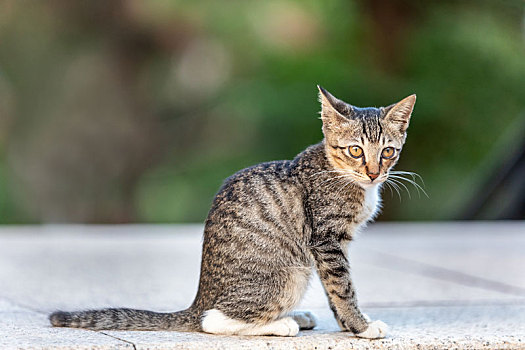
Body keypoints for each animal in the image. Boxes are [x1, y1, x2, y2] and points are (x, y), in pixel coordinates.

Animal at [51, 85, 416, 340]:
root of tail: (198, 300)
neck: (340, 173)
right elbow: (342, 288)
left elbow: (333, 289)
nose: (373, 173)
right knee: (211, 320)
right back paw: (282, 324)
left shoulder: (330, 246)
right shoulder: (325, 240)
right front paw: (362, 327)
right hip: (291, 273)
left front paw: (346, 326)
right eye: (355, 150)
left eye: (387, 152)